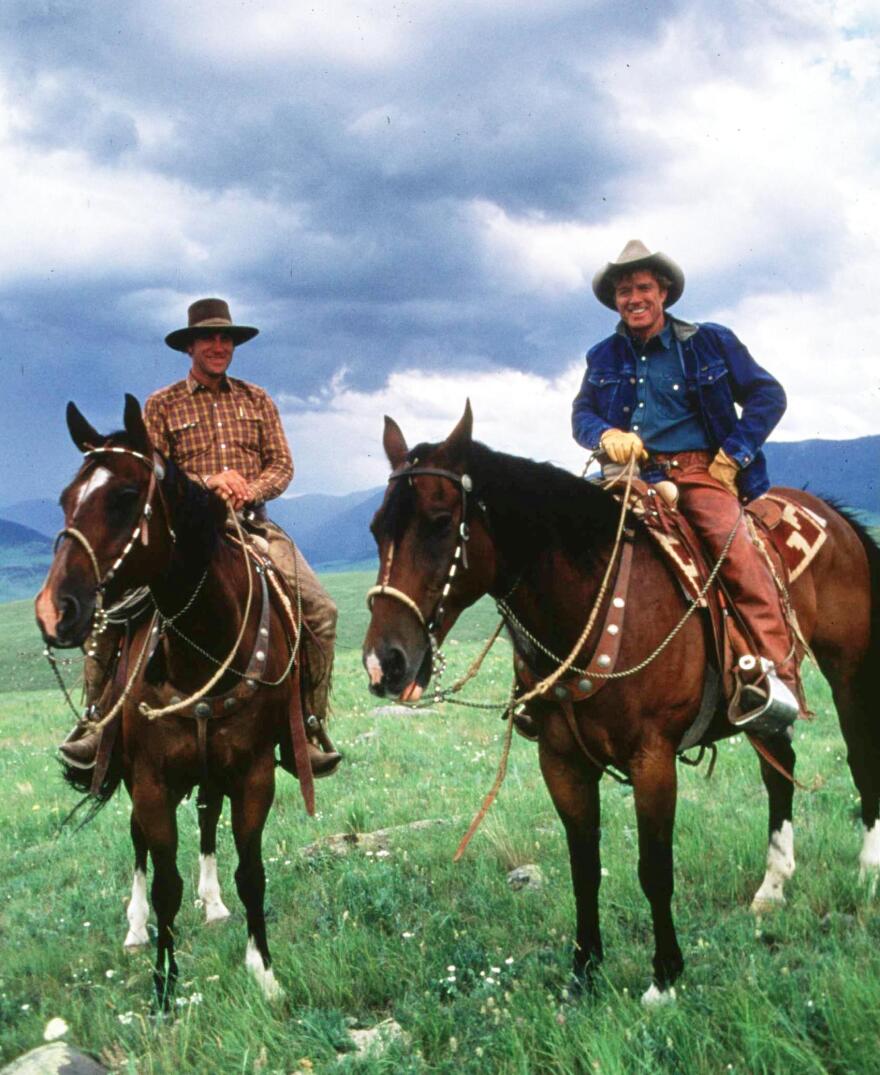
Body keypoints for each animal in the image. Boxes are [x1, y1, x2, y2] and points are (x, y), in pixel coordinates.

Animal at [34, 397, 309, 1006]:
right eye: (66, 498)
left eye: (123, 497)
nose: (52, 612)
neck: (204, 645)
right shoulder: (152, 780)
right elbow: (164, 881)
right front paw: (163, 986)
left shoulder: (254, 773)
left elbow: (251, 872)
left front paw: (266, 973)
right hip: (131, 770)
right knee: (139, 843)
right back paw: (137, 929)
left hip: (211, 769)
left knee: (207, 819)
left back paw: (214, 904)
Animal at [361, 402, 876, 997]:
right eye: (376, 529)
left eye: (441, 521)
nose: (385, 662)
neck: (591, 599)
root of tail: (832, 515)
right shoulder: (561, 761)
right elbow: (584, 866)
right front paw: (584, 968)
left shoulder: (652, 758)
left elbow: (654, 869)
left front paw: (664, 976)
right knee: (779, 770)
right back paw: (772, 886)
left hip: (849, 671)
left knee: (858, 757)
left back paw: (867, 870)